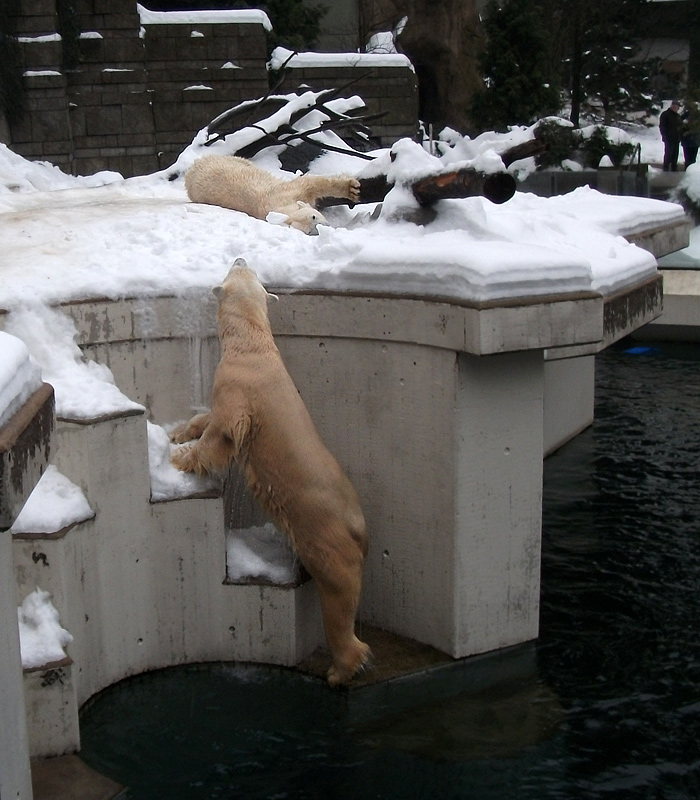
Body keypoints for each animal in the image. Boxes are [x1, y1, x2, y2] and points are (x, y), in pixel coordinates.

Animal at [185, 155, 360, 233]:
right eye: (308, 231)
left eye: (313, 216)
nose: (321, 228)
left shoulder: (289, 191)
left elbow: (312, 182)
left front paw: (351, 189)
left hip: (231, 160)